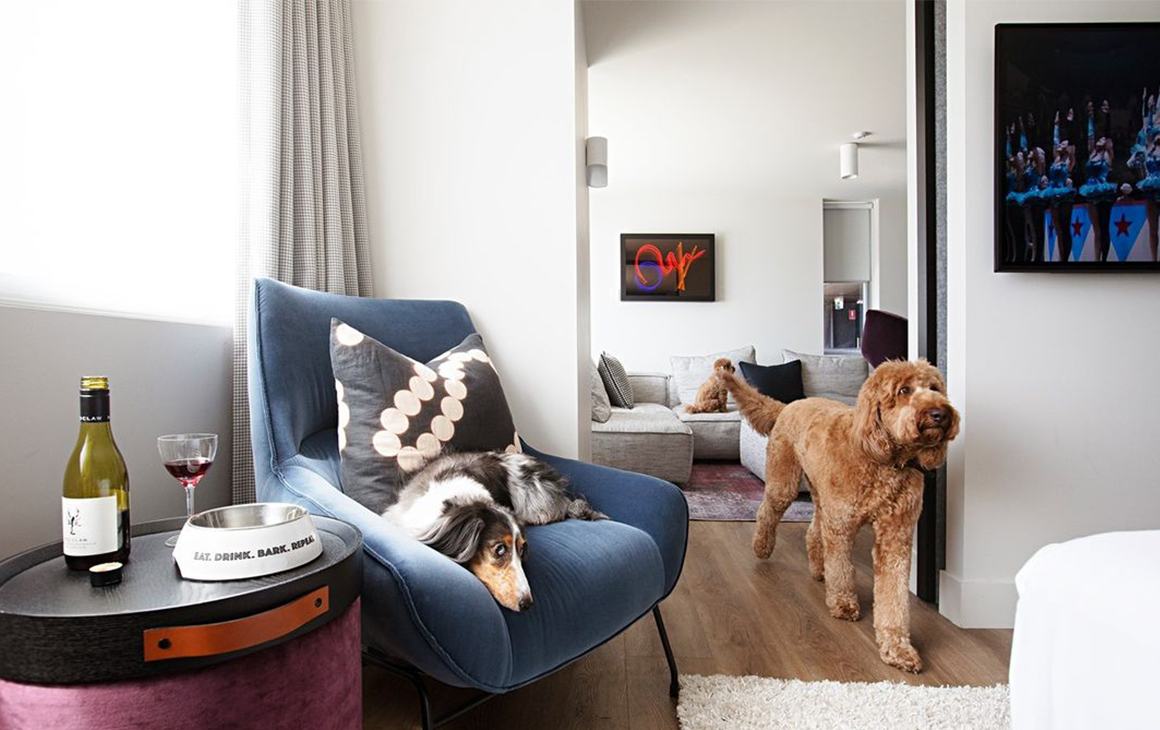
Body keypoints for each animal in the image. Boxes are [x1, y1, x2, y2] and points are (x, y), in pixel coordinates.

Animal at [723, 359, 960, 673]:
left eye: (934, 388)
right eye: (903, 390)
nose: (939, 414)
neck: (885, 460)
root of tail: (790, 404)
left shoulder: (895, 535)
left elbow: (894, 595)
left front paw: (898, 649)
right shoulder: (842, 524)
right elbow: (842, 568)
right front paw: (843, 604)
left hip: (821, 493)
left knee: (813, 530)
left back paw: (818, 567)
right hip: (785, 481)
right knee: (767, 512)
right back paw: (762, 547)